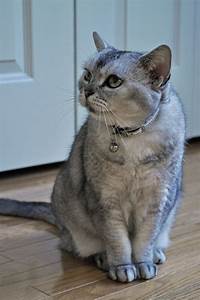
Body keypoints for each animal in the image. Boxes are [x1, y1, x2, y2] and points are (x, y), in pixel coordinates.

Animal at [0, 32, 186, 282]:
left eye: (113, 81)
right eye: (87, 75)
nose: (86, 91)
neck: (132, 137)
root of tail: (60, 225)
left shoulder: (157, 200)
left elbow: (144, 240)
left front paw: (144, 263)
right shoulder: (105, 200)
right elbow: (118, 241)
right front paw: (122, 267)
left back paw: (156, 253)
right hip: (70, 211)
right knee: (77, 246)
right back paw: (103, 259)